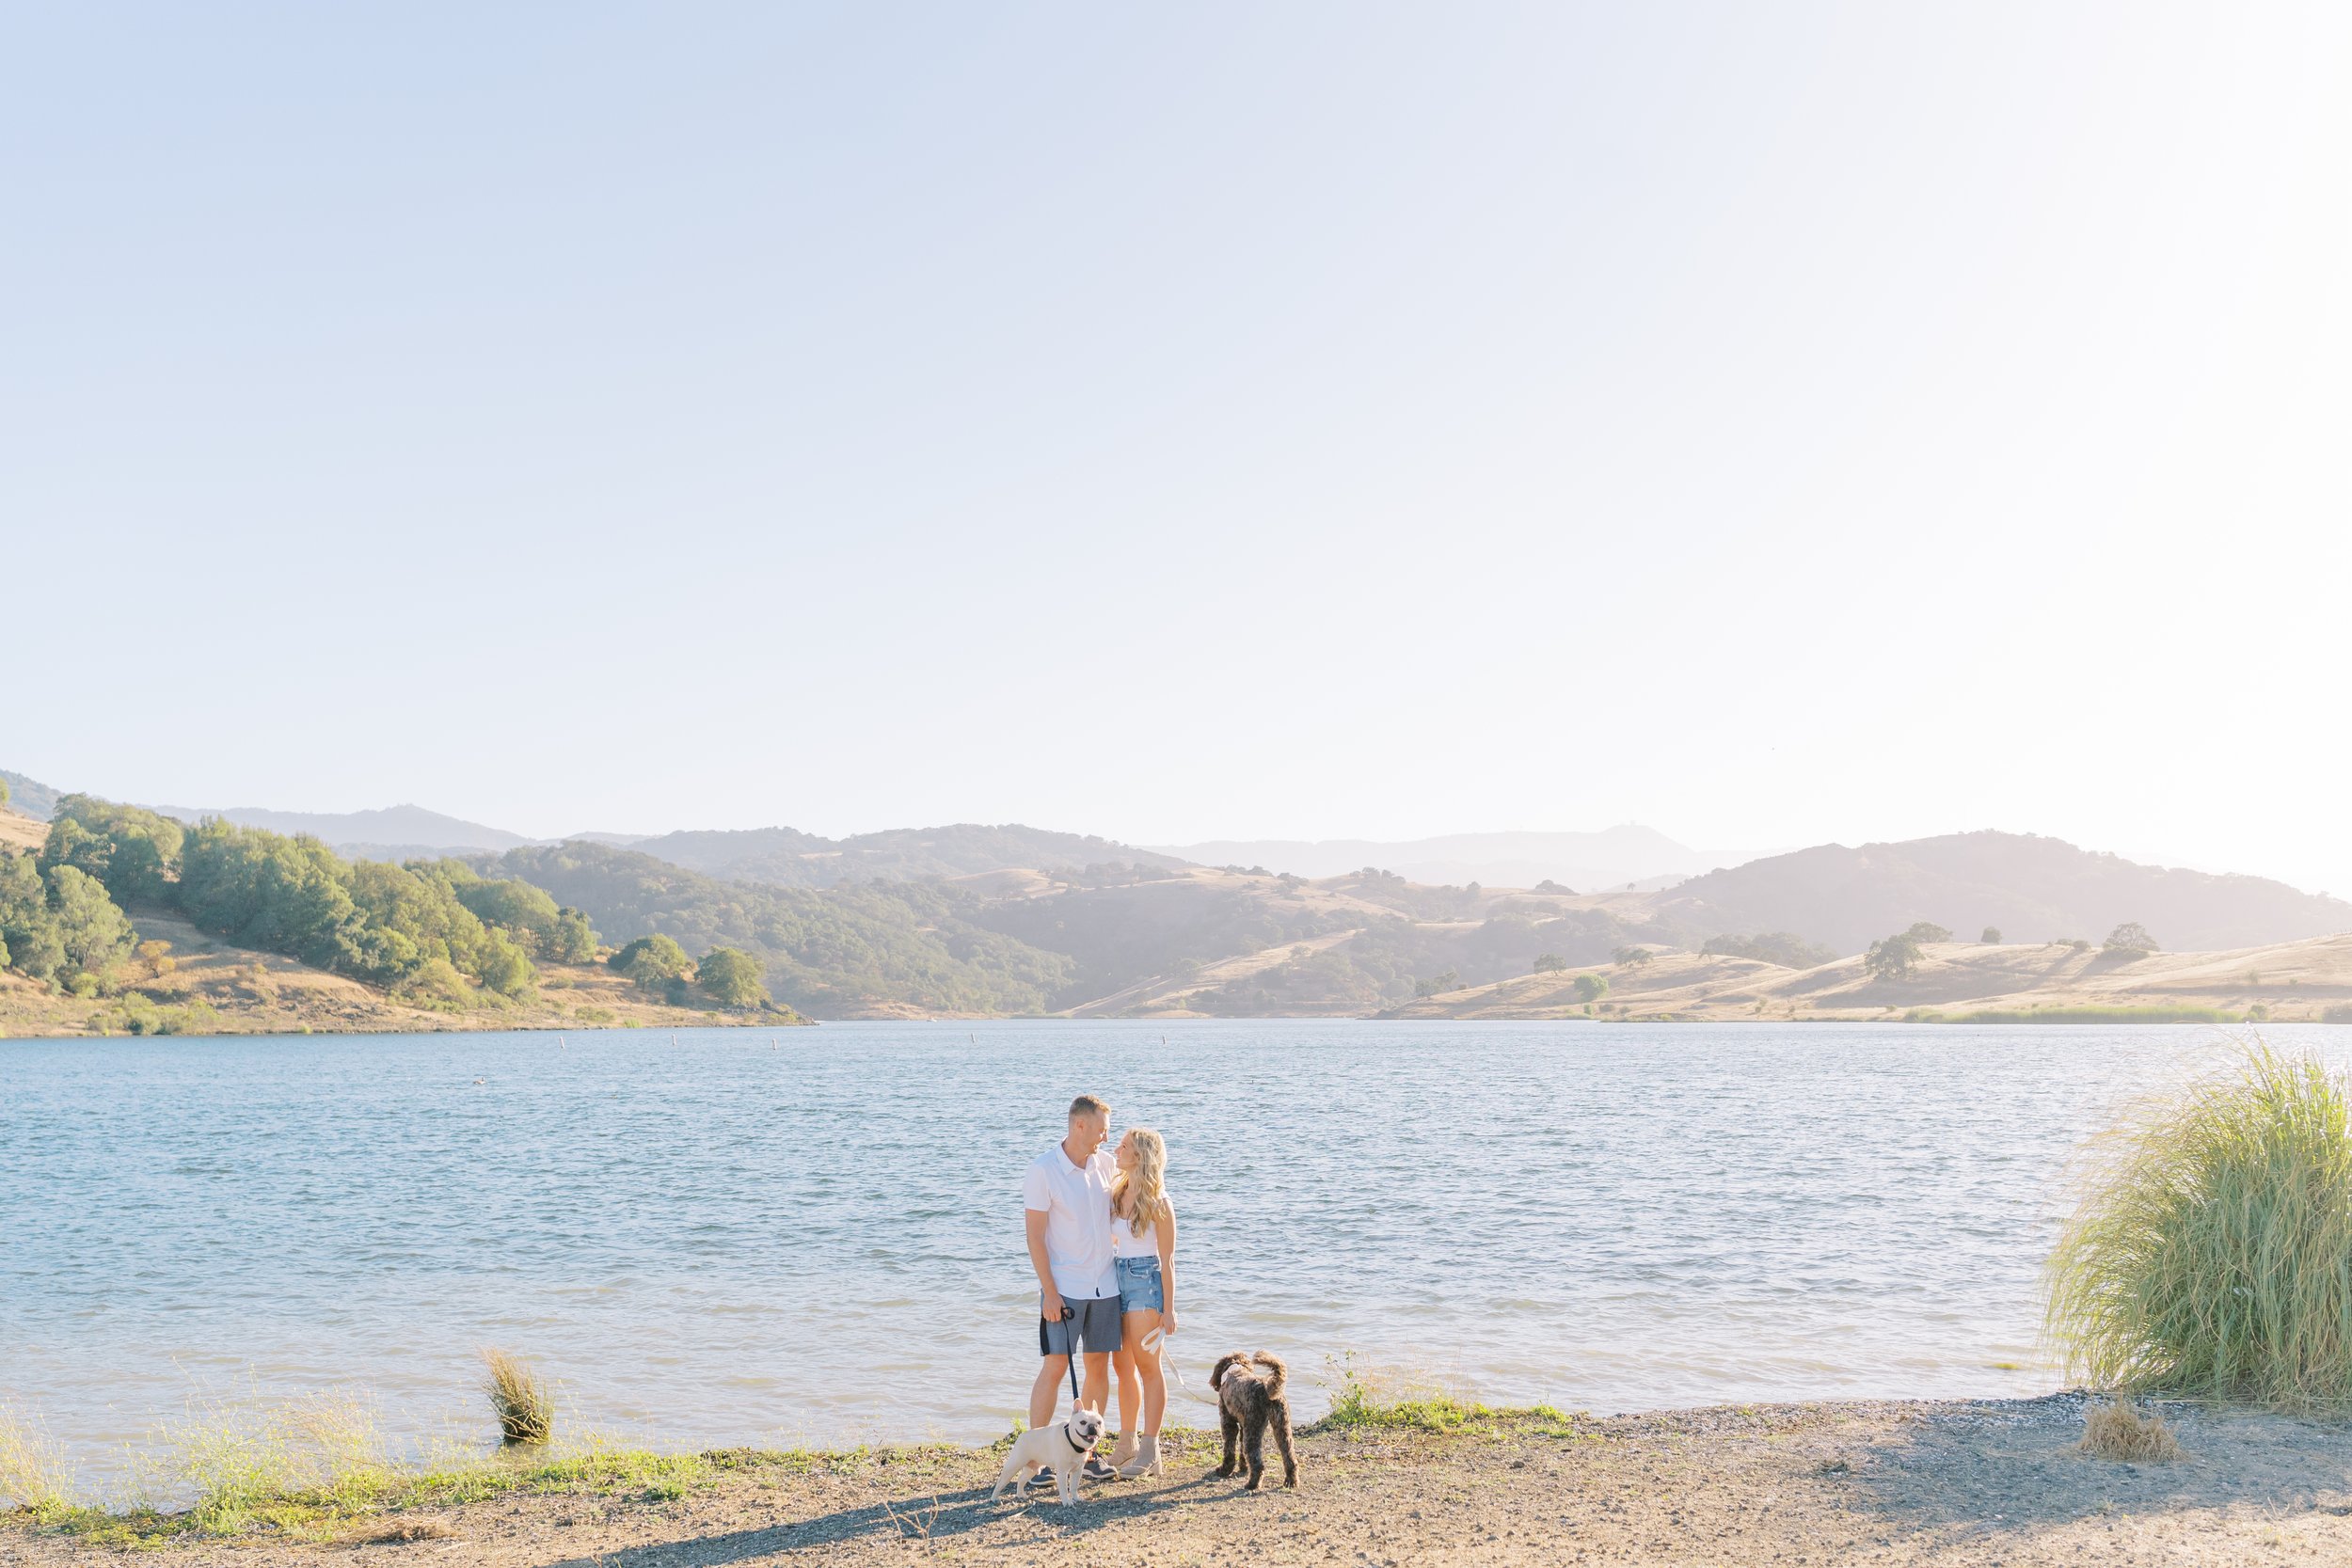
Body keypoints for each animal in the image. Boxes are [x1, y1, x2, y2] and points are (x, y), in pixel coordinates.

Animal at [1214, 1354, 1308, 1495]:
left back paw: (1252, 1484)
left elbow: (1229, 1450)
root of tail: (1267, 1389)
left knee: (1257, 1463)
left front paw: (1224, 1470)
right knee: (1290, 1458)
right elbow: (1241, 1451)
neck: (1236, 1369)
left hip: (1254, 1429)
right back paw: (1291, 1482)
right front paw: (1243, 1468)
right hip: (1282, 1428)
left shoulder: (1228, 1422)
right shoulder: (1244, 1426)